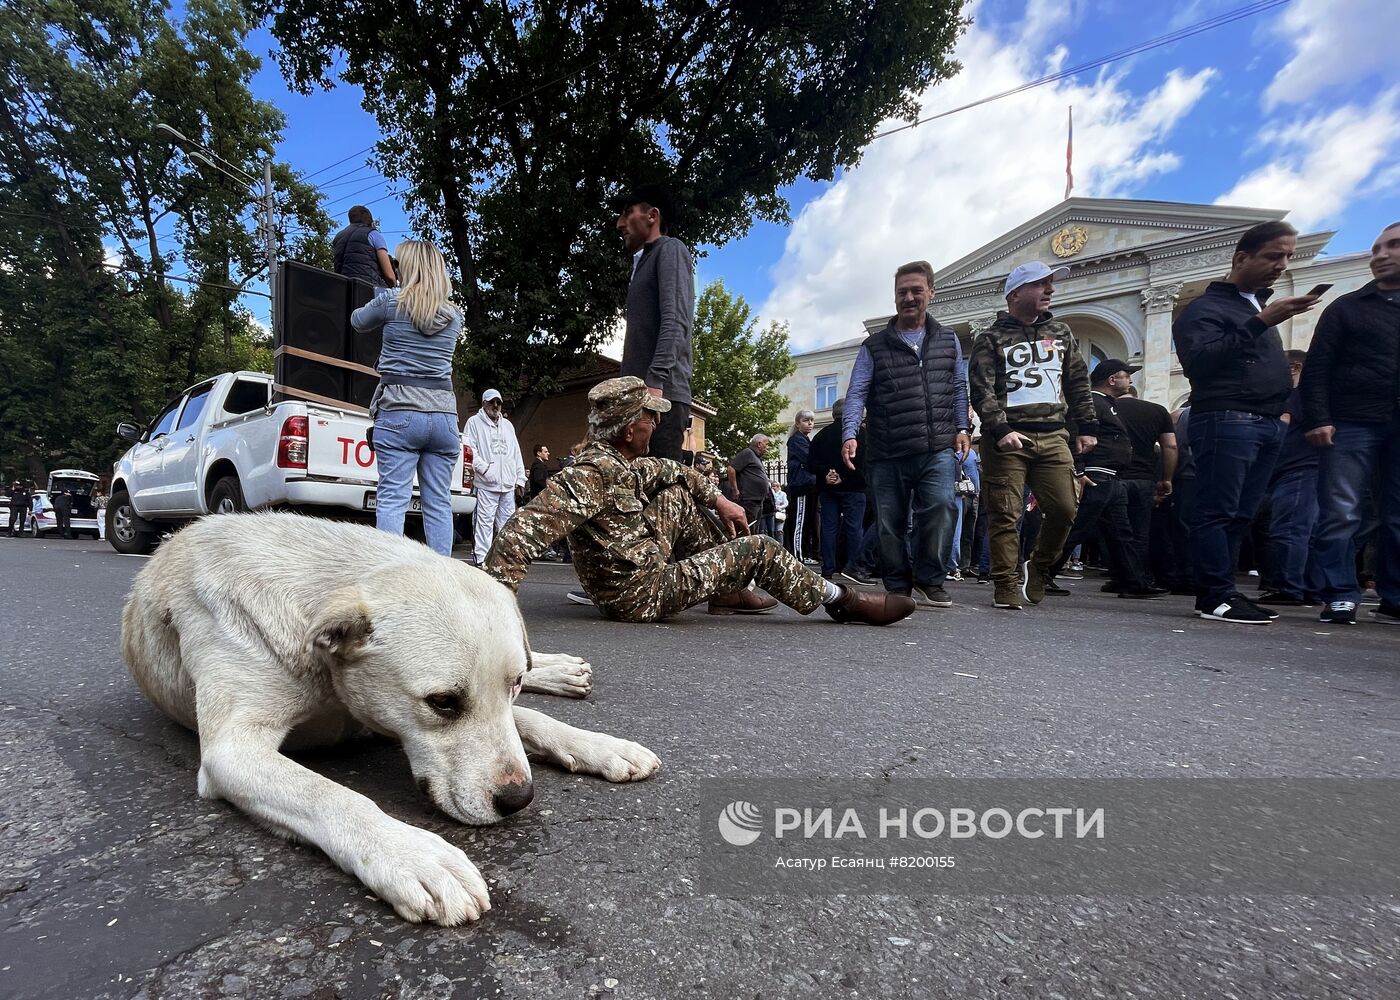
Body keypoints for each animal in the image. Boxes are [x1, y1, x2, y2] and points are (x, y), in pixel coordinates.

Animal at [121, 509, 660, 924]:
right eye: (442, 702)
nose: (518, 800)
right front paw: (413, 855)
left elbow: (529, 720)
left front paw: (601, 745)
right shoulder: (233, 751)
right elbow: (333, 796)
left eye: (513, 685)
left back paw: (561, 670)